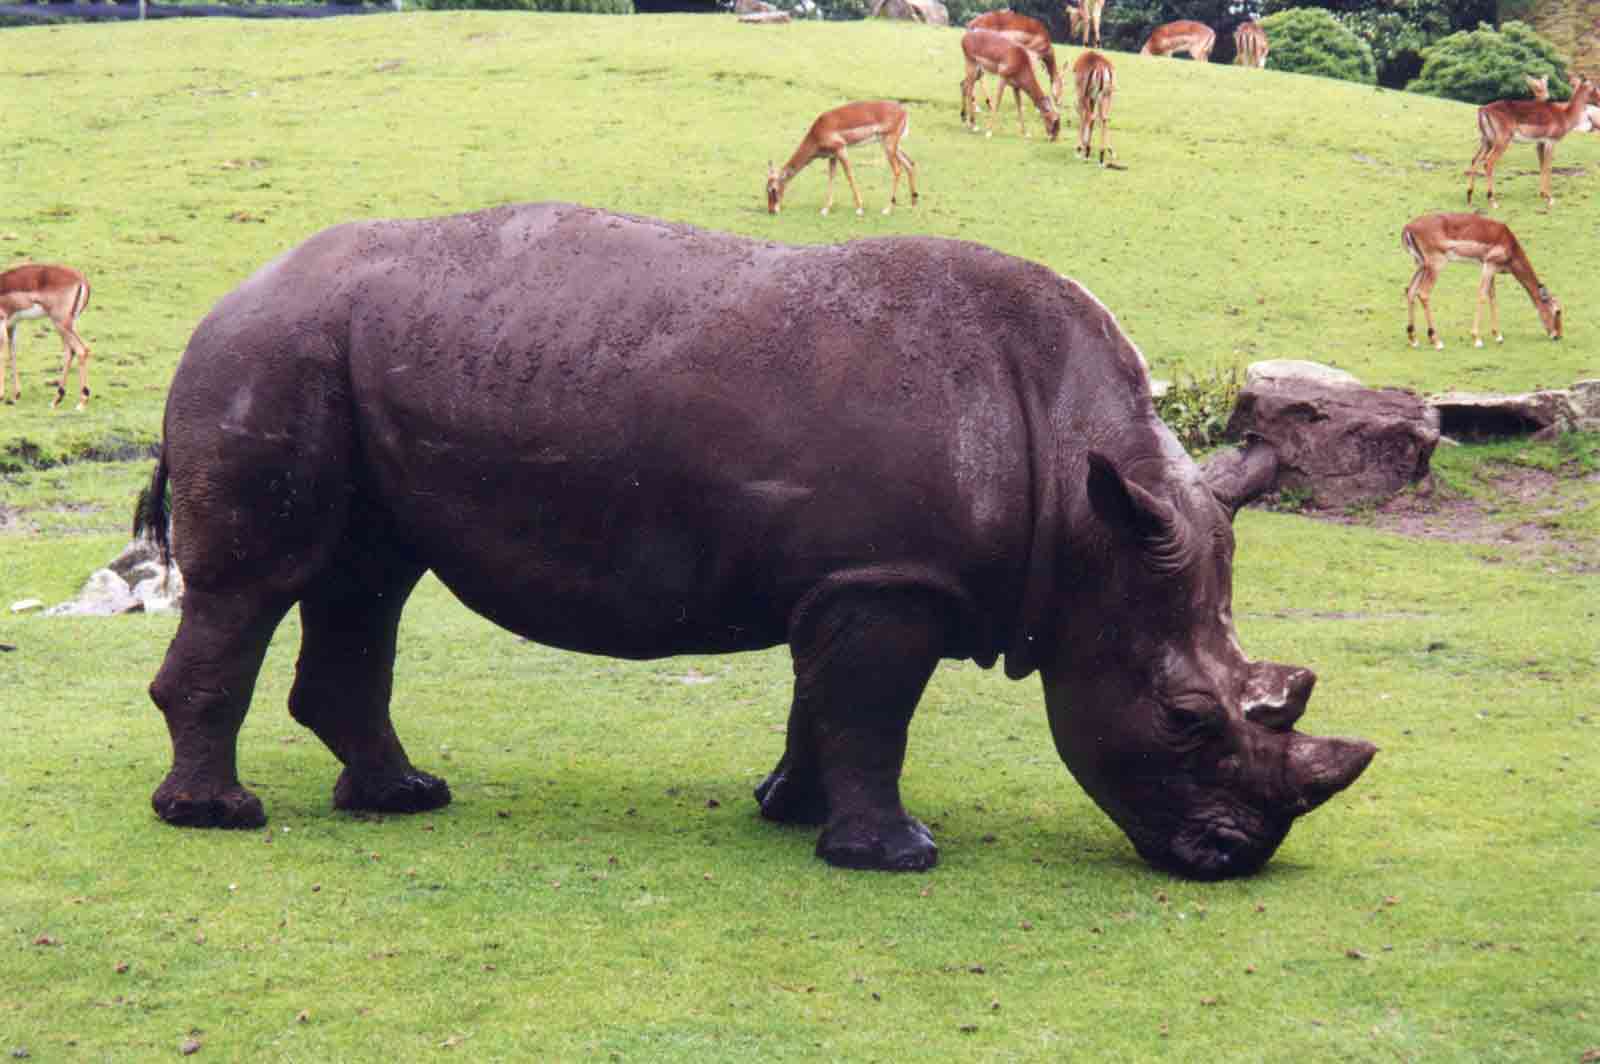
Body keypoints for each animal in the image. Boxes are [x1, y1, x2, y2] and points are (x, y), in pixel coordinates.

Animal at [1, 262, 93, 409]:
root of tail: (82, 279)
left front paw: (2, 395)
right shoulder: (12, 324)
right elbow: (13, 353)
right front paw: (16, 395)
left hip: (60, 323)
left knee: (81, 350)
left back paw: (81, 402)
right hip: (68, 324)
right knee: (70, 351)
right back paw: (56, 399)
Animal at [768, 99, 921, 216]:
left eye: (773, 189)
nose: (771, 211)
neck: (818, 131)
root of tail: (903, 111)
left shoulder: (841, 150)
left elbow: (849, 176)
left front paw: (859, 209)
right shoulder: (833, 156)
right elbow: (831, 177)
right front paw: (825, 209)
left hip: (889, 146)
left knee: (897, 170)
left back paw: (887, 209)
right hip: (893, 146)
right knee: (910, 163)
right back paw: (913, 205)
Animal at [1401, 211, 1561, 348]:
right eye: (1557, 311)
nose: (1558, 336)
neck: (1509, 242)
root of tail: (1408, 227)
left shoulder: (1492, 269)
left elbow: (1492, 296)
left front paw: (1498, 336)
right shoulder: (1488, 265)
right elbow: (1482, 295)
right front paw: (1477, 339)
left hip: (1421, 265)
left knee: (1410, 290)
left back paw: (1414, 340)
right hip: (1436, 265)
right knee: (1423, 293)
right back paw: (1437, 341)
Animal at [1465, 75, 1600, 208]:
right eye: (1594, 87)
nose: (1599, 101)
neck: (1564, 115)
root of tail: (1483, 109)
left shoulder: (1540, 144)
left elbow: (1542, 166)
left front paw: (1543, 195)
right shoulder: (1550, 142)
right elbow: (1548, 167)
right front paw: (1550, 198)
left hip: (1487, 141)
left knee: (1475, 160)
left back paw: (1469, 197)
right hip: (1501, 142)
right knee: (1488, 163)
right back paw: (1492, 201)